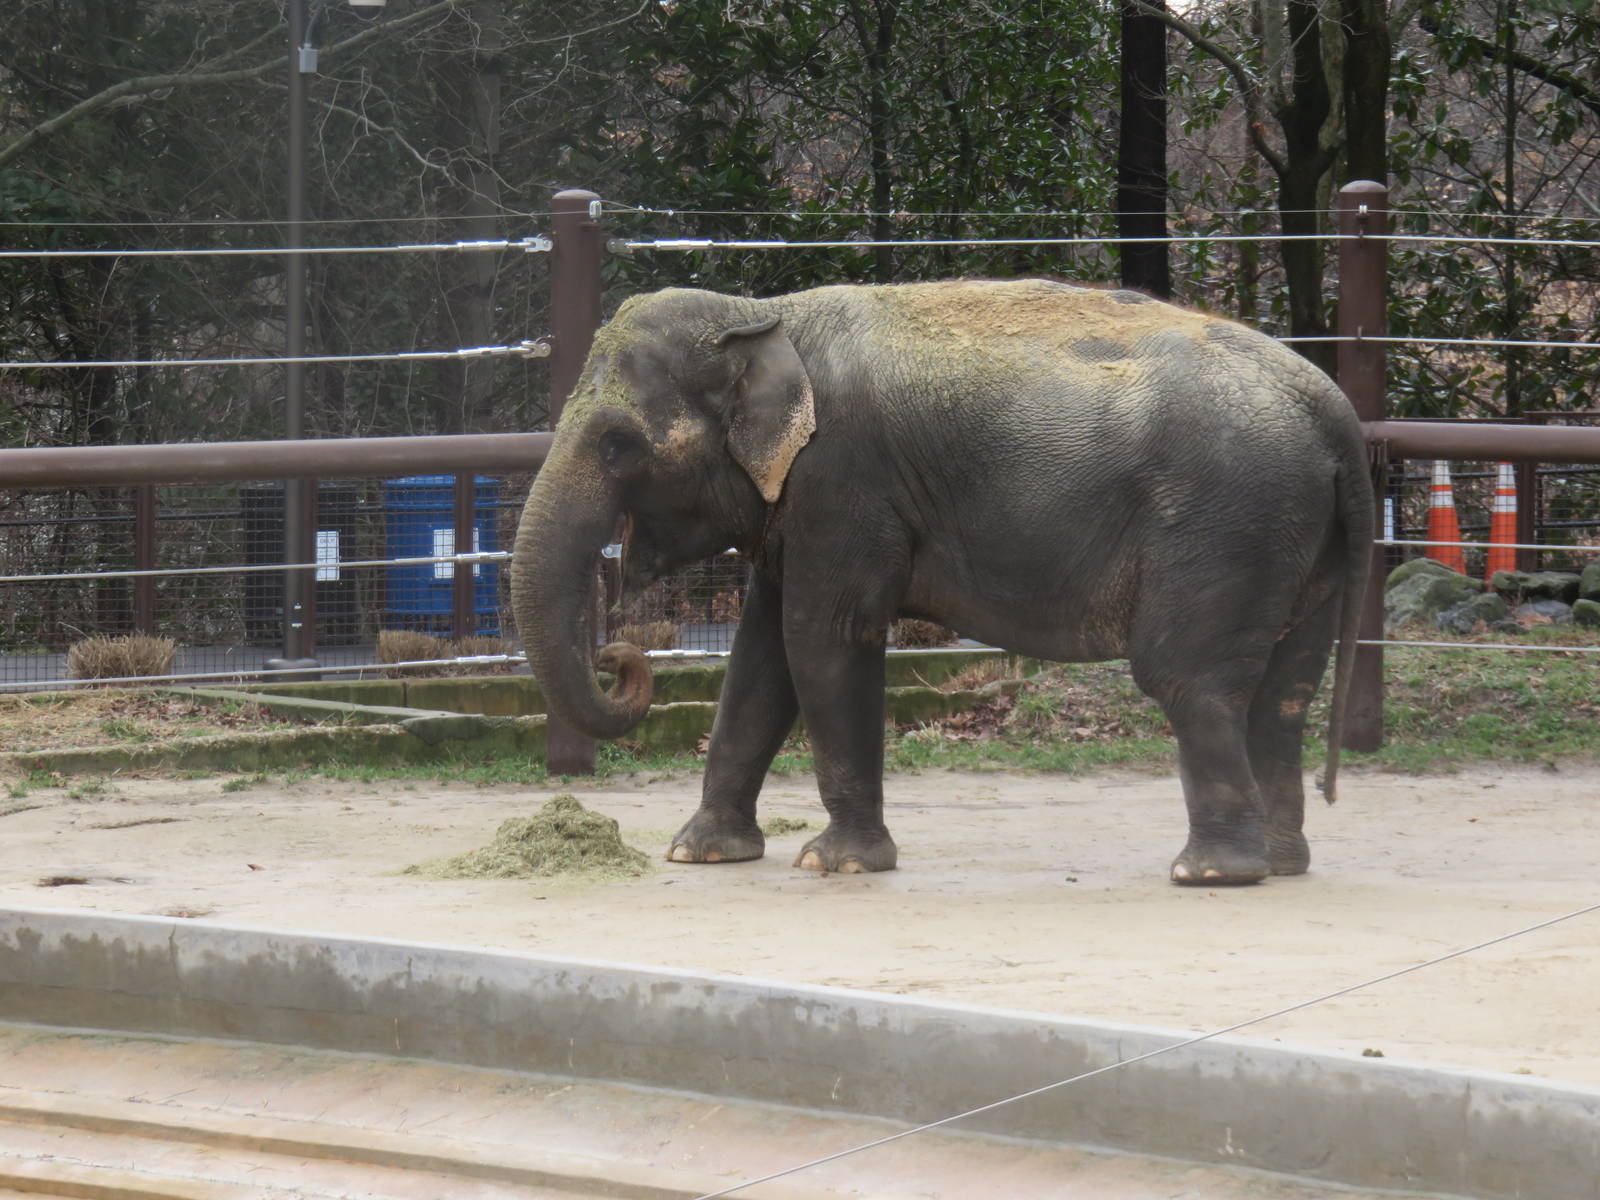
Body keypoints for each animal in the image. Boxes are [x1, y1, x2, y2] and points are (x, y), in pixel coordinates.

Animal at [510, 278, 1373, 885]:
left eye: (618, 443)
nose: (619, 655)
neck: (764, 313)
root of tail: (1336, 412)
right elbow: (760, 659)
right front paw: (700, 854)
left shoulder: (845, 482)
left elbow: (821, 641)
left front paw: (835, 863)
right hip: (1299, 540)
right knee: (1284, 691)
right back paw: (1281, 862)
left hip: (1225, 521)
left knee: (1186, 678)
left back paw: (1211, 874)